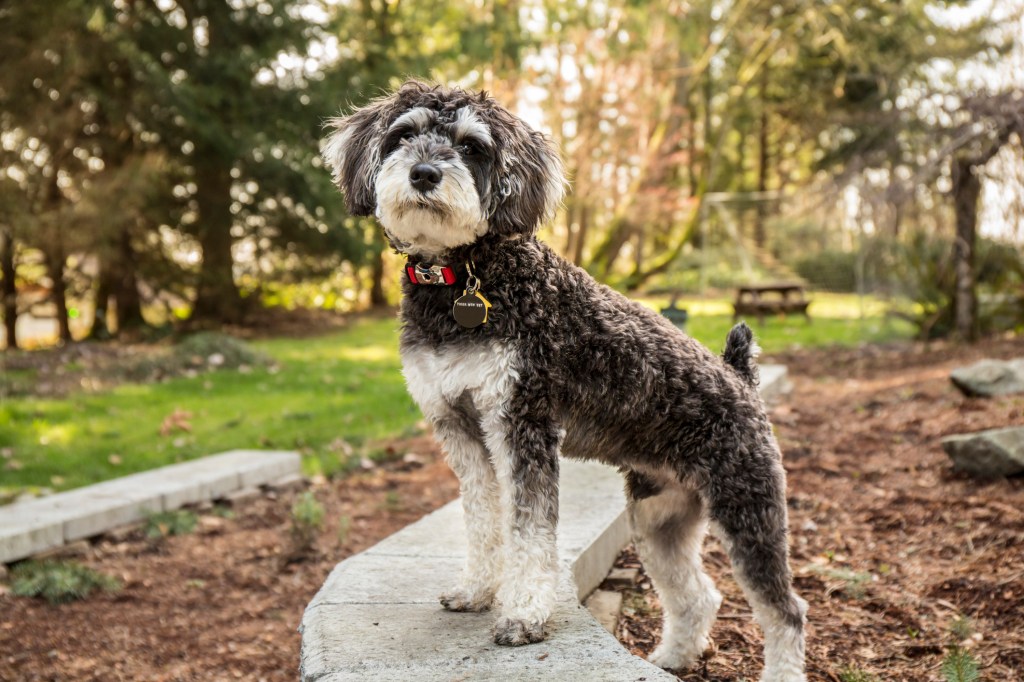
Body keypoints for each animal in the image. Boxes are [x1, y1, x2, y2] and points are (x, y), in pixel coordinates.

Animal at [323, 80, 802, 679]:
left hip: (747, 509)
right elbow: (483, 517)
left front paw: (523, 615)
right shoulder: (460, 429)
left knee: (785, 612)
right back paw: (672, 656)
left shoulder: (521, 422)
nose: (425, 173)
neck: (465, 277)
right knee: (697, 594)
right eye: (403, 134)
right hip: (659, 517)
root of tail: (739, 378)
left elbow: (529, 529)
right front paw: (477, 590)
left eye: (472, 146)